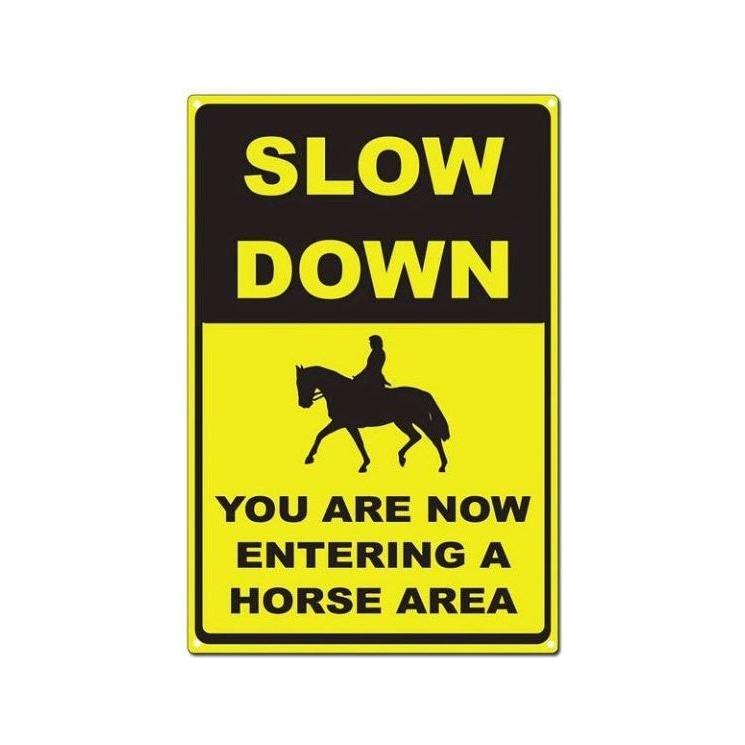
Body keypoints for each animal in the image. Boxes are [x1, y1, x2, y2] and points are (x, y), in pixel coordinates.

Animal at [295, 365, 450, 473]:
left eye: (303, 383)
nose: (303, 404)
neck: (340, 391)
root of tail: (423, 393)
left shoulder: (342, 422)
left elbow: (323, 435)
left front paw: (309, 458)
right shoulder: (347, 425)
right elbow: (353, 442)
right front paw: (365, 464)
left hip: (420, 420)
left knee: (434, 439)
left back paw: (442, 465)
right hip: (403, 422)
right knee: (416, 436)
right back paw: (401, 457)